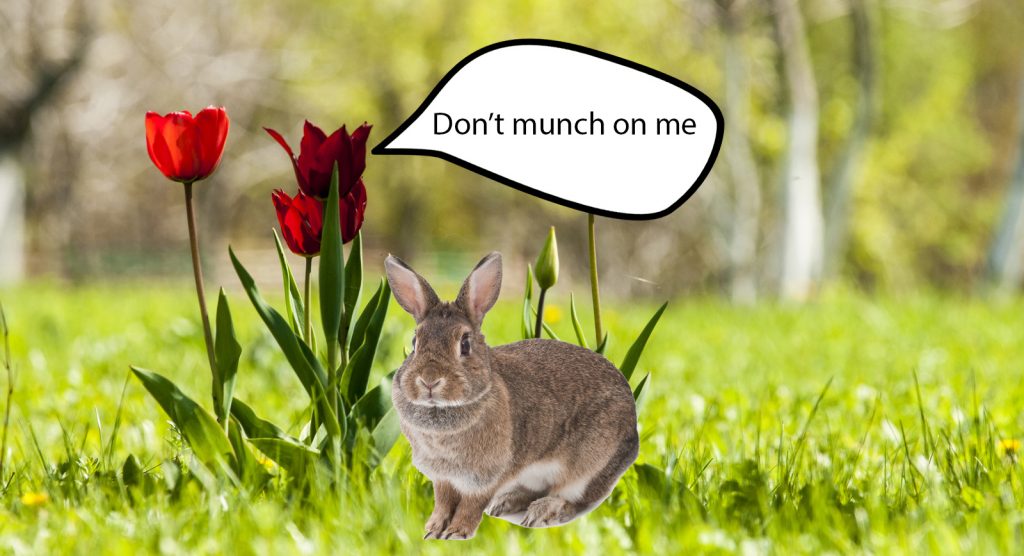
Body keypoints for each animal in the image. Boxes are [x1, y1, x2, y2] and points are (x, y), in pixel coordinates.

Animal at [384, 252, 639, 540]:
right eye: (415, 342)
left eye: (465, 344)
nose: (429, 380)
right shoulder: (443, 478)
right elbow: (443, 502)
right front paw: (433, 530)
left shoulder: (484, 477)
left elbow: (470, 506)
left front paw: (457, 533)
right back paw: (506, 503)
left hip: (587, 468)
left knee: (574, 498)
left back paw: (542, 511)